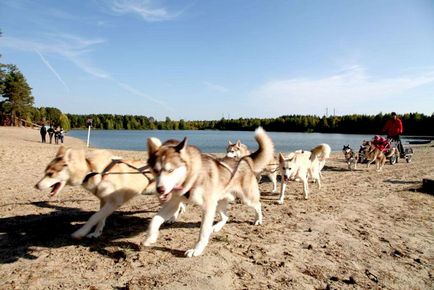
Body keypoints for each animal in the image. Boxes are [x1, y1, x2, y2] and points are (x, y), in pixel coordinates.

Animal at [35, 146, 163, 239]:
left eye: (50, 174)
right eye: (45, 172)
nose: (36, 186)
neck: (95, 171)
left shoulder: (114, 202)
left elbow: (94, 217)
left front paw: (81, 232)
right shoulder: (104, 201)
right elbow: (100, 219)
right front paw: (96, 233)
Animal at [146, 128, 274, 258]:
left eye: (171, 170)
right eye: (155, 170)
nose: (160, 190)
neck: (192, 177)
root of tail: (243, 159)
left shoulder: (208, 207)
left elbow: (203, 232)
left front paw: (196, 249)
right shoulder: (174, 203)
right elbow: (155, 219)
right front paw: (150, 237)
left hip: (246, 199)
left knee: (258, 205)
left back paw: (258, 219)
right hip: (218, 204)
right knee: (226, 217)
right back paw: (216, 227)